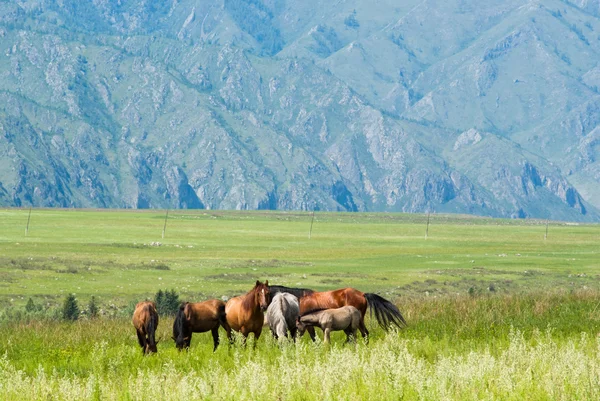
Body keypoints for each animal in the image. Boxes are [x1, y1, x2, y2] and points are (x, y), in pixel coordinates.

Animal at [270, 282, 406, 340]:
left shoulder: (307, 323)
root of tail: (362, 294)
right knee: (362, 334)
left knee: (361, 334)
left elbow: (313, 337)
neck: (300, 299)